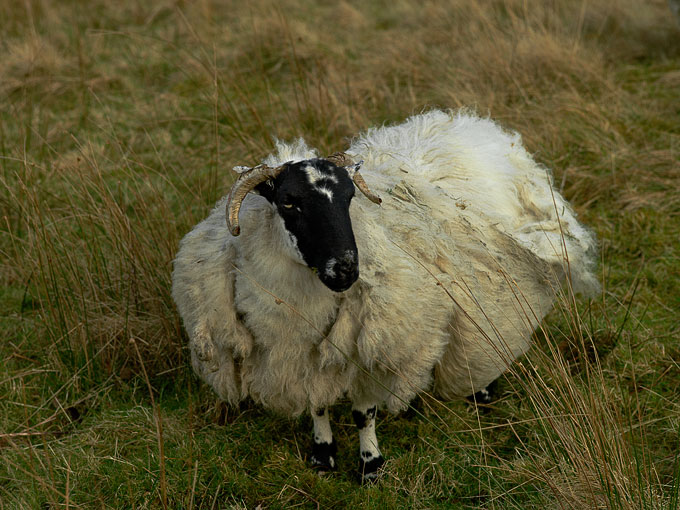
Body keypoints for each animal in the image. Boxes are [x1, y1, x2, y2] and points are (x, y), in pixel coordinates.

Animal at [173, 108, 596, 482]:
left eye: (349, 198)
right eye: (289, 202)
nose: (346, 269)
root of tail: (474, 124)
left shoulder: (375, 342)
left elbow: (364, 412)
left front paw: (370, 466)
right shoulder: (304, 351)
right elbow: (319, 403)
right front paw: (323, 456)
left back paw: (483, 390)